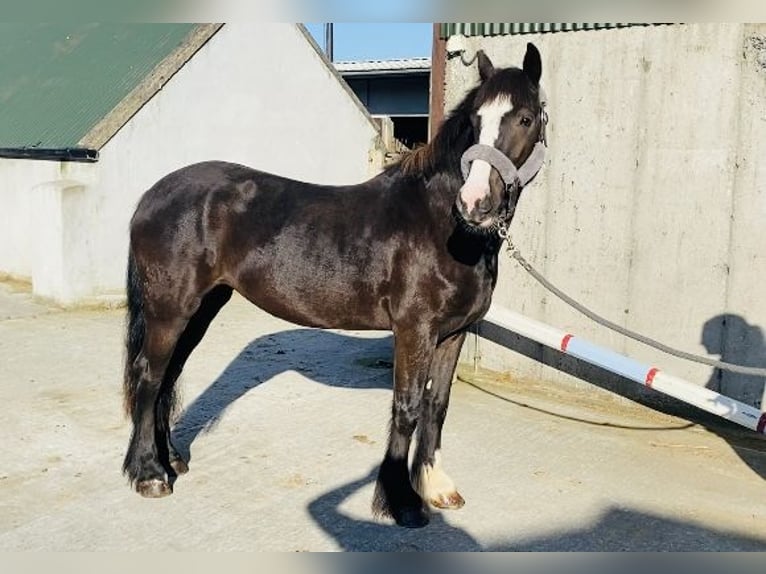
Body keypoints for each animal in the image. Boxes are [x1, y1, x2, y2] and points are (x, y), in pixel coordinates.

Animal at [123, 44, 548, 532]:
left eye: (525, 118)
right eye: (476, 121)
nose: (475, 202)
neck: (442, 223)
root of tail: (152, 195)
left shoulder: (453, 333)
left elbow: (436, 405)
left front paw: (436, 487)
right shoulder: (414, 330)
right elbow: (407, 408)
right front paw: (401, 502)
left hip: (201, 307)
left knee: (168, 376)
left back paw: (171, 460)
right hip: (170, 309)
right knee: (149, 376)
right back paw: (150, 475)